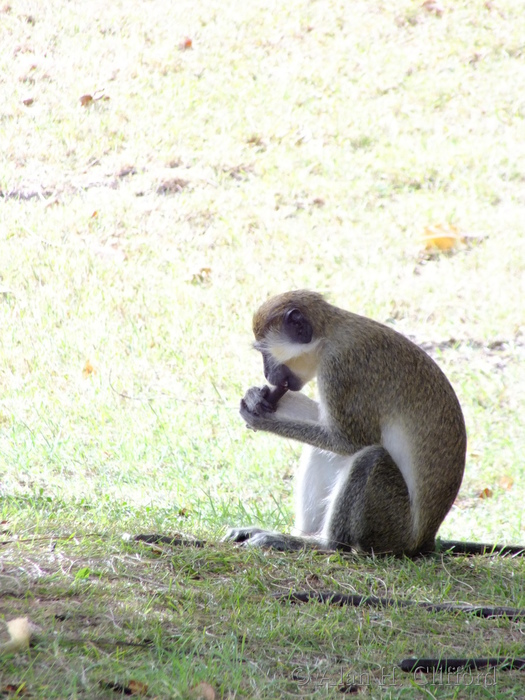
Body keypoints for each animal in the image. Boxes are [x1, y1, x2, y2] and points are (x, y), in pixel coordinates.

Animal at [224, 290, 524, 558]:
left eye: (264, 352)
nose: (266, 373)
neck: (328, 336)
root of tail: (424, 539)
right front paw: (256, 397)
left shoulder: (342, 370)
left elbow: (351, 440)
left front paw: (263, 419)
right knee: (322, 450)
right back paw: (301, 535)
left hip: (391, 526)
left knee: (370, 457)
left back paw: (320, 543)